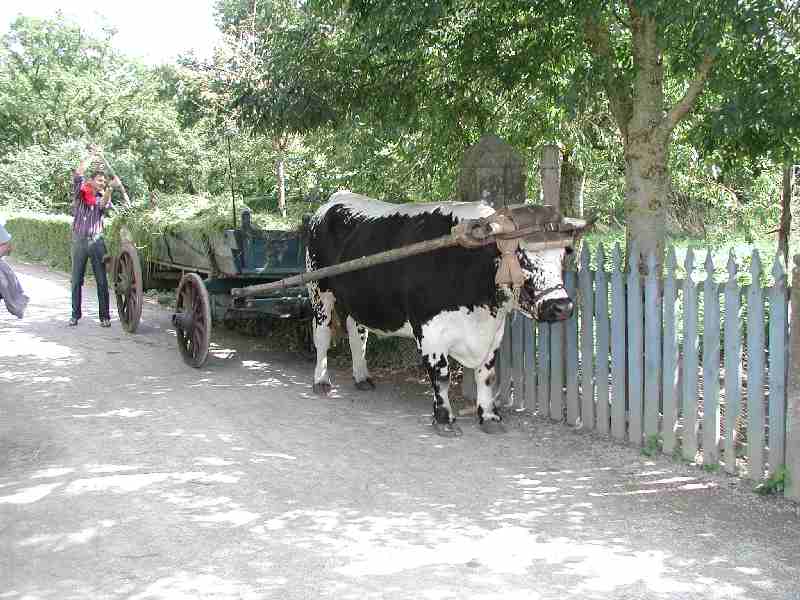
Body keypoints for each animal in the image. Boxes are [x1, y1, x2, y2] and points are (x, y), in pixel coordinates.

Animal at [304, 192, 576, 432]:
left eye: (562, 256)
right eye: (523, 257)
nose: (562, 307)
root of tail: (337, 197)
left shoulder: (494, 331)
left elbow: (487, 375)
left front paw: (489, 417)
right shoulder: (429, 329)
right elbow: (441, 375)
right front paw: (444, 419)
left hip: (358, 300)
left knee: (356, 333)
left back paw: (362, 377)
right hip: (319, 290)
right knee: (322, 335)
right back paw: (321, 381)